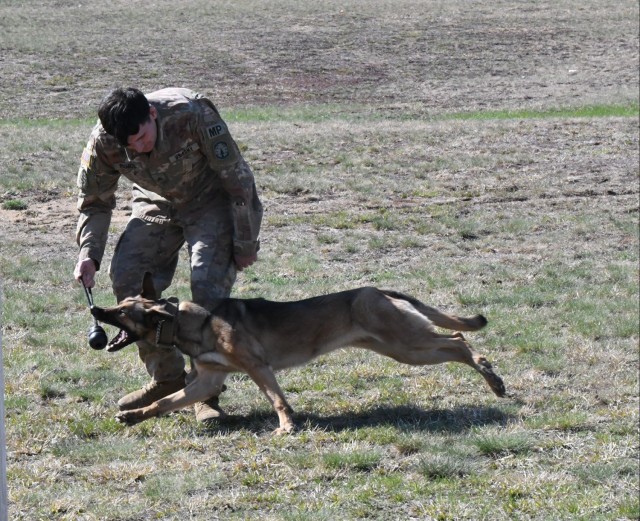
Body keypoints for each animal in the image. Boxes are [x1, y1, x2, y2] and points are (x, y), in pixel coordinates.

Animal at [92, 274, 504, 432]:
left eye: (124, 312)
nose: (95, 309)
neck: (192, 323)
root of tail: (380, 290)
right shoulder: (206, 381)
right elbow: (164, 402)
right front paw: (133, 416)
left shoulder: (258, 367)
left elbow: (277, 399)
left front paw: (287, 427)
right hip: (402, 347)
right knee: (455, 339)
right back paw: (492, 380)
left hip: (406, 345)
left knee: (459, 341)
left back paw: (492, 378)